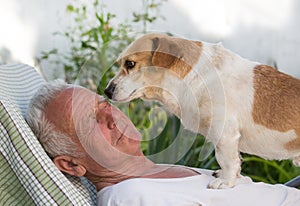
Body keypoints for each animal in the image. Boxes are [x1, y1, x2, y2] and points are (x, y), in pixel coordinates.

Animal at [103, 33, 300, 189]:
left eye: (130, 64)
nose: (107, 91)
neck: (195, 76)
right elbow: (236, 162)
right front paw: (235, 179)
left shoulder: (225, 135)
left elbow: (227, 160)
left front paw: (226, 182)